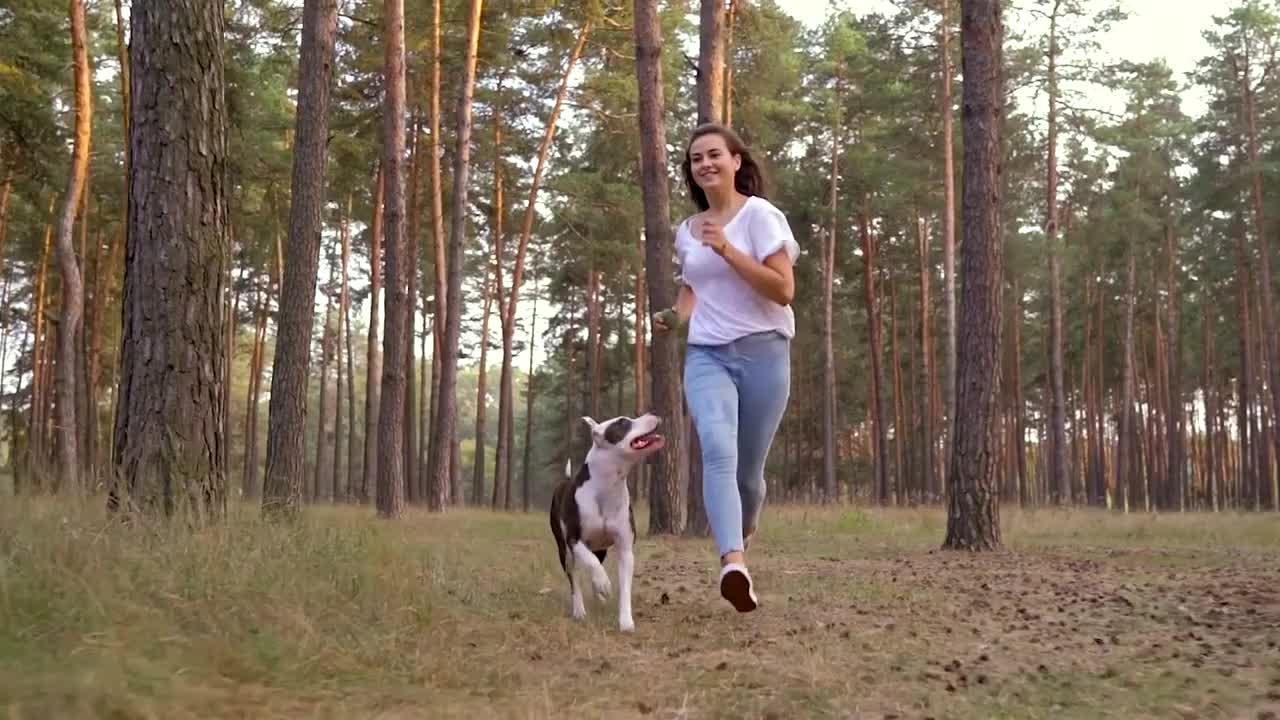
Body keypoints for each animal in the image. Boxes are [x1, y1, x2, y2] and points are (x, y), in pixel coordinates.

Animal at [550, 412, 670, 630]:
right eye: (622, 422)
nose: (654, 414)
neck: (607, 486)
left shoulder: (625, 548)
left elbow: (624, 587)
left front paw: (625, 621)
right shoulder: (574, 540)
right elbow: (589, 562)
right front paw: (603, 583)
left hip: (601, 549)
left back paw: (598, 596)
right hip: (565, 551)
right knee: (575, 578)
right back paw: (579, 609)